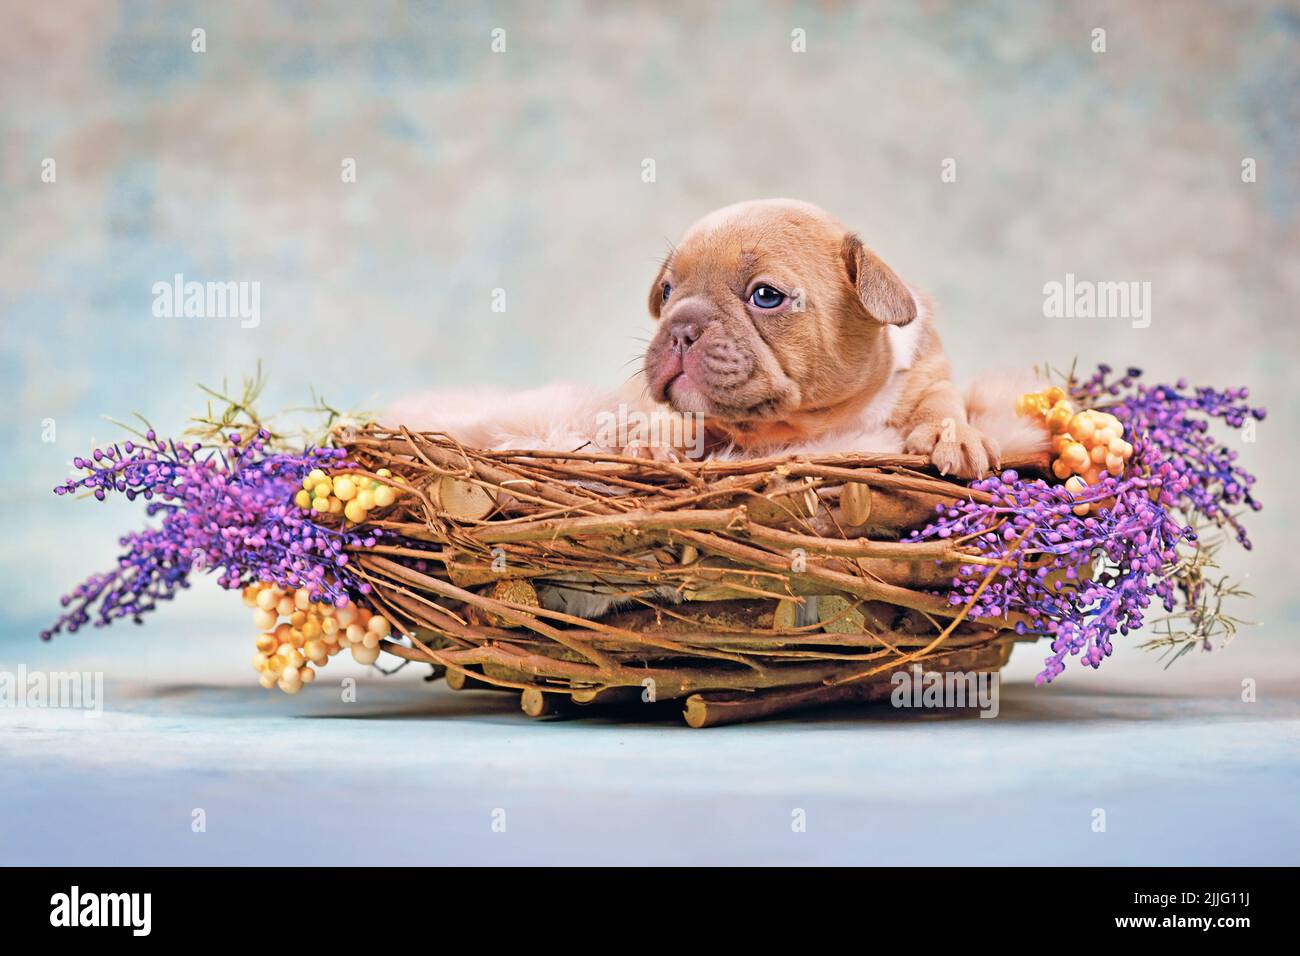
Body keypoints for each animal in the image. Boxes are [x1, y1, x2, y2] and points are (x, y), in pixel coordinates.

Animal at [644, 197, 998, 476]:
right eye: (667, 291)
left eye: (766, 295)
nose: (680, 328)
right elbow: (685, 422)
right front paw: (654, 441)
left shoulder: (929, 373)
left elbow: (940, 398)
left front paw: (951, 433)